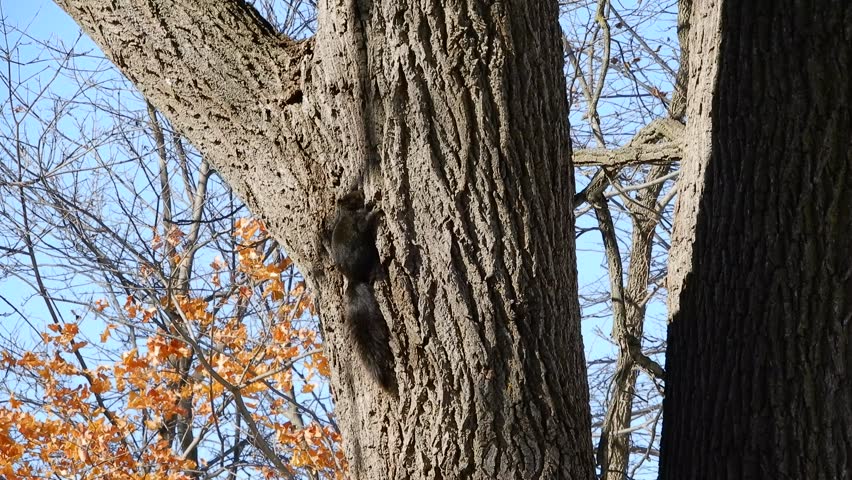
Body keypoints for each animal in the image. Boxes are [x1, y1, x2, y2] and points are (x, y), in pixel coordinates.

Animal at [331, 190, 395, 391]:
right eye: (352, 197)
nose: (360, 192)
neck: (347, 212)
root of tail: (355, 280)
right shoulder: (358, 222)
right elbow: (366, 221)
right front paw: (376, 209)